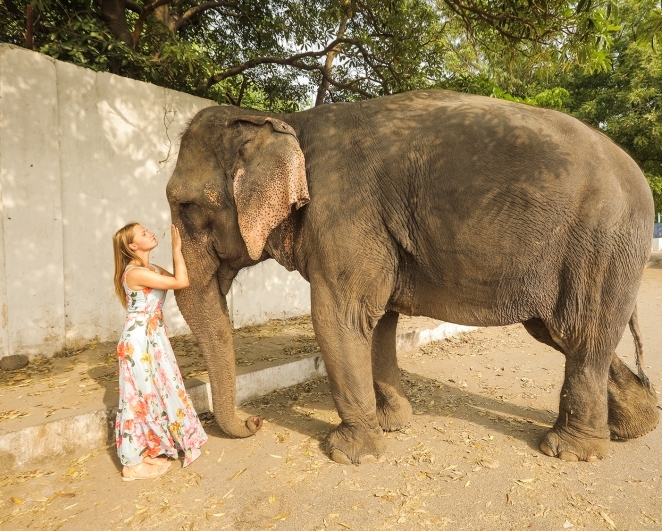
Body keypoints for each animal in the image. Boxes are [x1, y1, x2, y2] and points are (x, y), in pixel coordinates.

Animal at [166, 90, 660, 466]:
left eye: (186, 206)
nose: (254, 422)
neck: (285, 122)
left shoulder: (343, 216)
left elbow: (339, 318)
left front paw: (350, 453)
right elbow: (378, 322)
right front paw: (394, 424)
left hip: (600, 244)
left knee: (580, 332)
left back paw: (570, 450)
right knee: (564, 334)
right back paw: (635, 426)